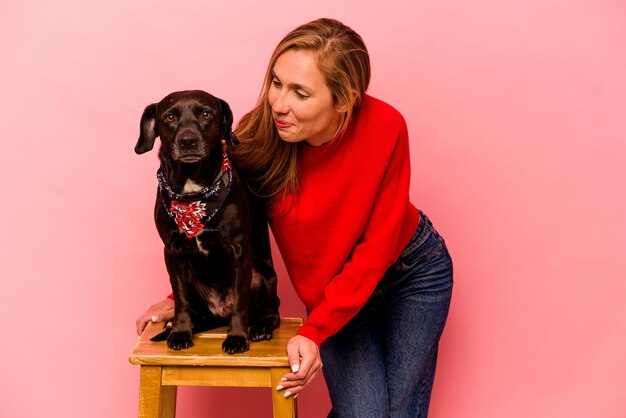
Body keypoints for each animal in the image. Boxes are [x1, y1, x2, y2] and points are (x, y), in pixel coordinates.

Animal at [135, 90, 280, 352]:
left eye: (206, 114)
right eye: (169, 117)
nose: (187, 140)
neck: (193, 195)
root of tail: (219, 313)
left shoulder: (240, 249)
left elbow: (241, 301)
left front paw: (237, 337)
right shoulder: (172, 252)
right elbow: (180, 299)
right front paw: (180, 331)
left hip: (263, 275)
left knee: (270, 310)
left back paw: (261, 327)